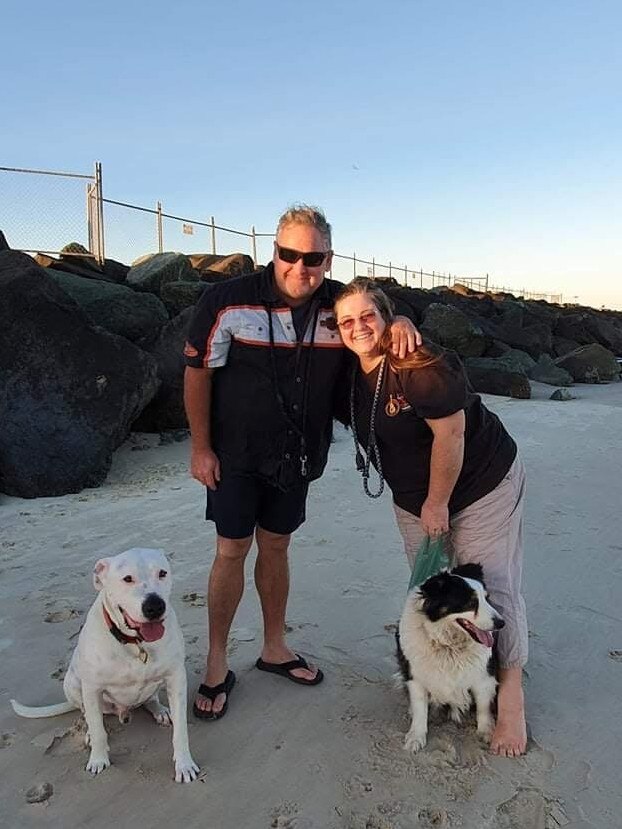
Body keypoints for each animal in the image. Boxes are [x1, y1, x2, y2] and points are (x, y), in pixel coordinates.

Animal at [11, 548, 200, 780]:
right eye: (127, 578)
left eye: (162, 573)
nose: (155, 606)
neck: (135, 643)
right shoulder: (92, 688)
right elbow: (98, 729)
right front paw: (98, 759)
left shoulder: (176, 679)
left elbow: (181, 731)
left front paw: (184, 764)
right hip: (72, 683)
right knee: (88, 714)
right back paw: (90, 733)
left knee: (150, 699)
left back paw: (161, 710)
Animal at [400, 564, 508, 752]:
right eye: (471, 603)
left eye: (487, 599)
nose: (501, 623)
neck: (449, 645)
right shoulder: (415, 675)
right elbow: (420, 708)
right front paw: (416, 736)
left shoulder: (485, 675)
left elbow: (483, 705)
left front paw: (487, 731)